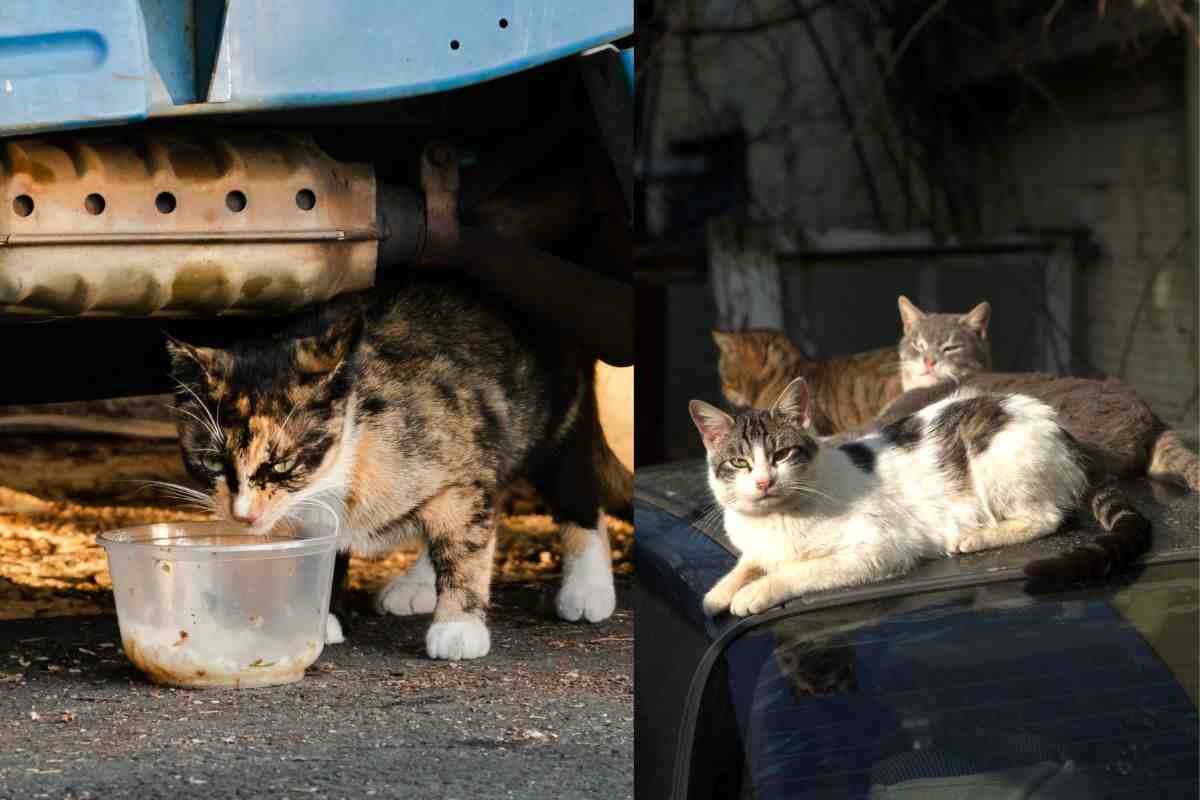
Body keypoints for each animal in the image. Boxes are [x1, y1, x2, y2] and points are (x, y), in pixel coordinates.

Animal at [171, 275, 638, 662]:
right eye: (211, 461)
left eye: (283, 462)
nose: (244, 515)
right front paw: (321, 615)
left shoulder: (457, 454)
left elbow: (465, 538)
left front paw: (459, 625)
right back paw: (416, 585)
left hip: (556, 420)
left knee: (574, 491)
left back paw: (587, 586)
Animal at [696, 379, 1152, 618]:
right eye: (739, 462)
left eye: (781, 455)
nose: (763, 482)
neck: (776, 519)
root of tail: (1060, 429)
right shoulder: (757, 547)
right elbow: (747, 563)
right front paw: (720, 592)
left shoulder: (880, 549)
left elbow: (797, 571)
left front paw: (753, 594)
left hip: (996, 459)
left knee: (1047, 517)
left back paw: (976, 537)